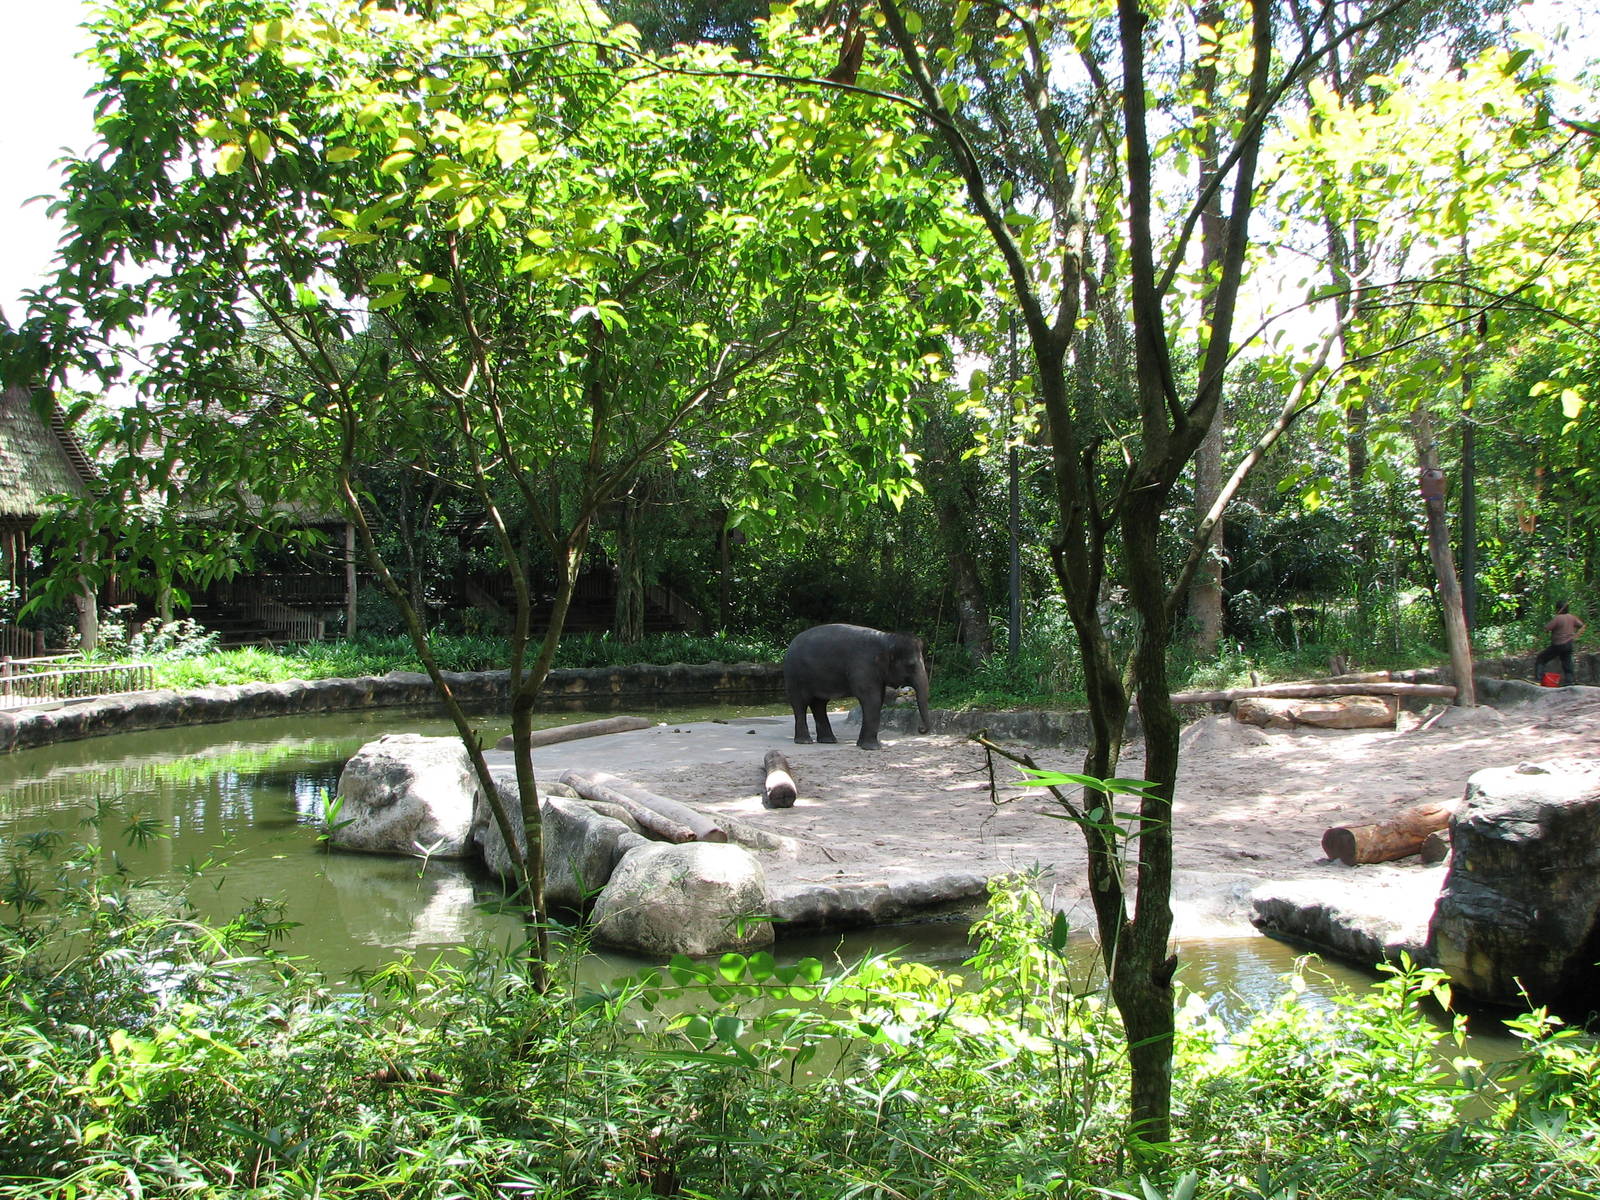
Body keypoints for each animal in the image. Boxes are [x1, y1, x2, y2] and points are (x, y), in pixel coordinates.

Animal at [782, 623, 932, 750]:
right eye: (911, 665)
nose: (920, 729)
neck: (886, 639)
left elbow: (878, 700)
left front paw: (861, 744)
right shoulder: (863, 667)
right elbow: (872, 700)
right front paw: (872, 748)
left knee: (819, 704)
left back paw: (828, 740)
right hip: (794, 677)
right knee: (800, 704)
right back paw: (805, 741)